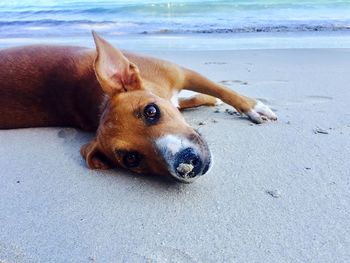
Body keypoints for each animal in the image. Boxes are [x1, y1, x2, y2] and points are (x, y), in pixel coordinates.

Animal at [1, 31, 278, 184]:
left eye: (151, 111)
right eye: (131, 159)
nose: (186, 164)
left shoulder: (182, 72)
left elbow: (222, 90)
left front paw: (252, 107)